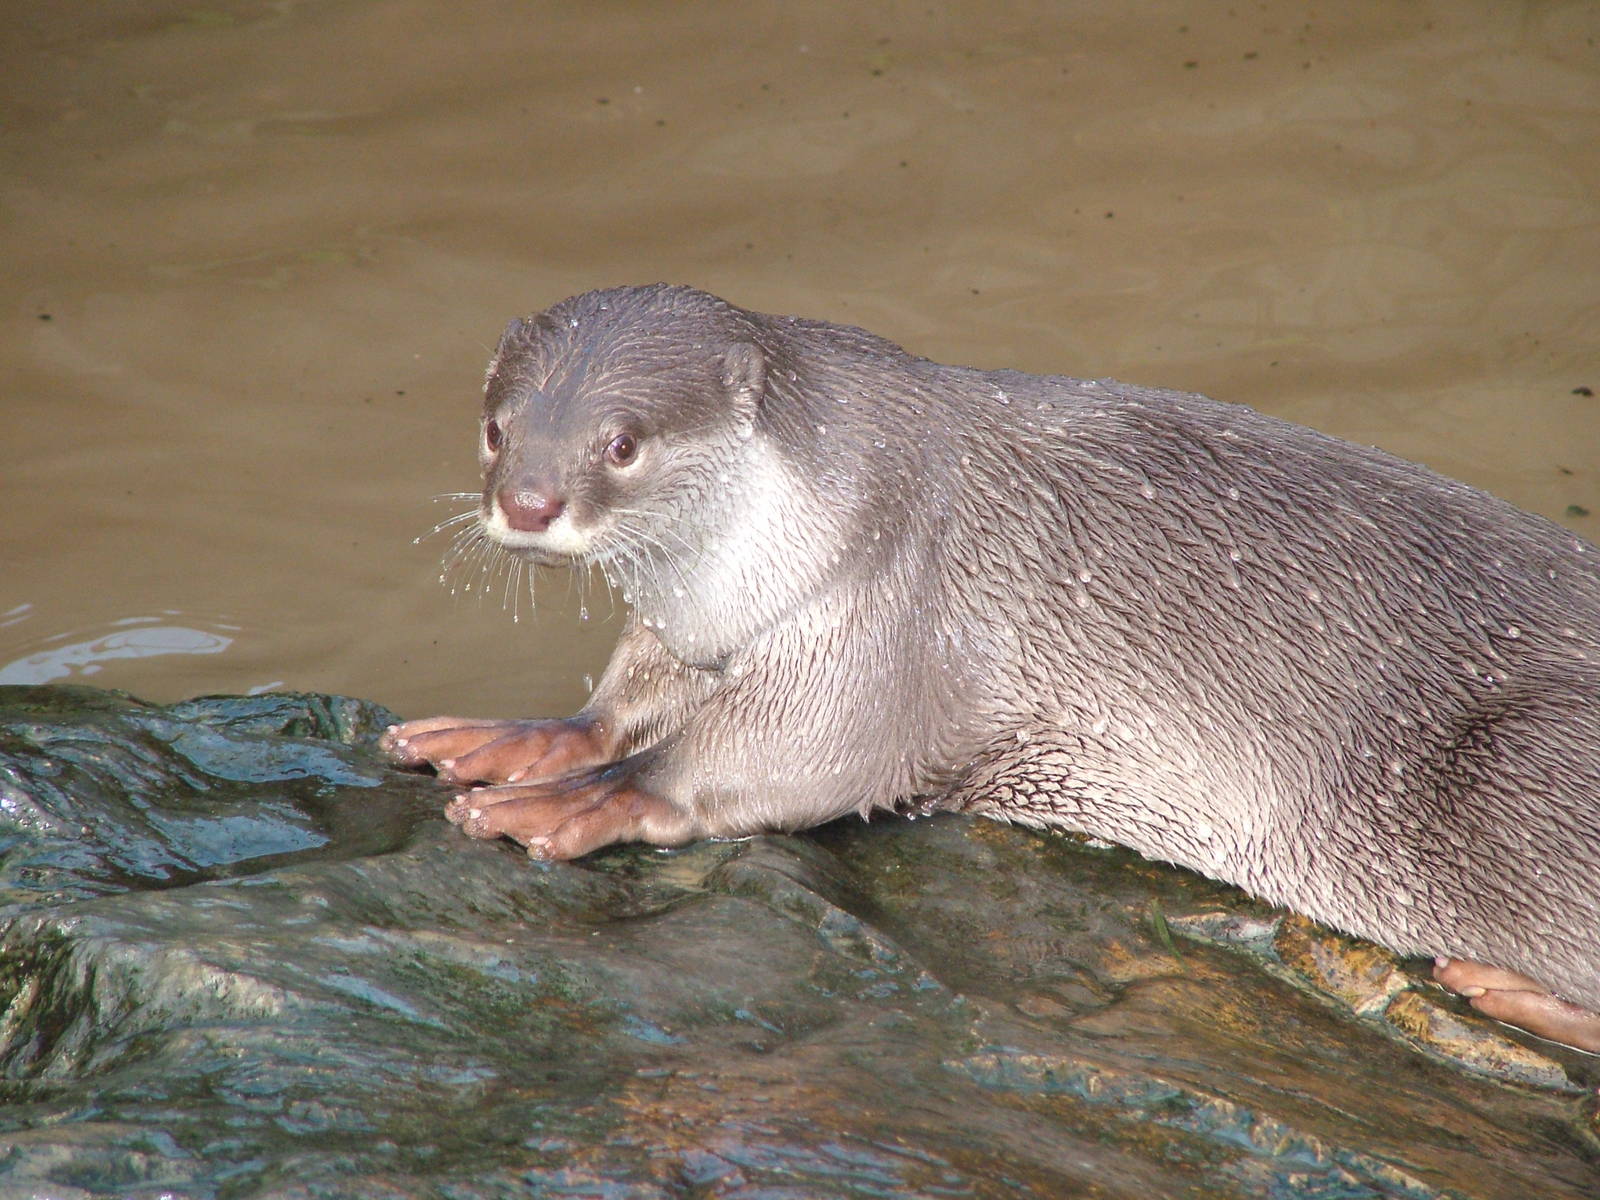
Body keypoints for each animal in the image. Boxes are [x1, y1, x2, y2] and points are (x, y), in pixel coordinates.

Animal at [383, 284, 1600, 1053]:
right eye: (495, 429)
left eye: (622, 444)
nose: (527, 503)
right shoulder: (700, 627)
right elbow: (622, 702)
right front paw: (518, 739)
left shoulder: (887, 613)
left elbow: (782, 756)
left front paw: (574, 800)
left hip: (1525, 769)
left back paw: (1499, 987)